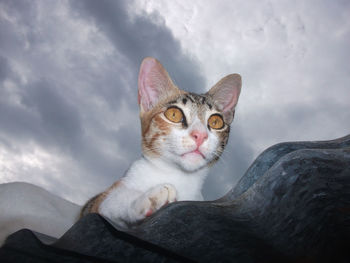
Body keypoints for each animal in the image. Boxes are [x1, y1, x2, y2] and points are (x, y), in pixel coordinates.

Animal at [80, 57, 242, 229]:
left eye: (216, 121)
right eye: (174, 114)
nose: (200, 135)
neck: (177, 175)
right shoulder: (96, 203)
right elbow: (111, 201)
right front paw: (145, 198)